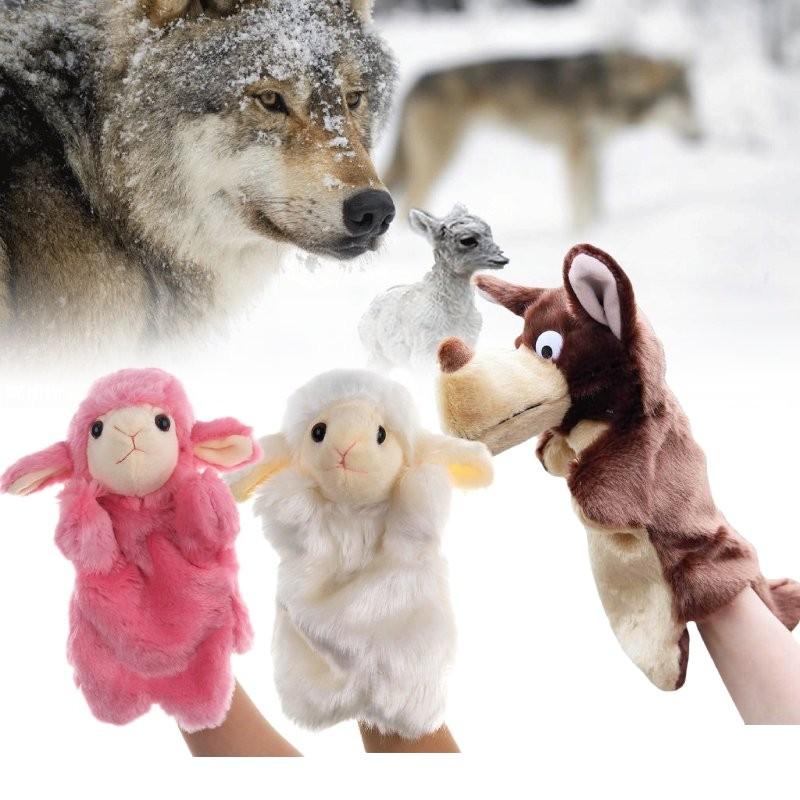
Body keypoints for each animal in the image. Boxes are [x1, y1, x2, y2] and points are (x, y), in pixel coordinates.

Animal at [385, 50, 700, 228]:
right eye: (683, 103)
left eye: (692, 102)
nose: (702, 135)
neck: (611, 85)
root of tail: (417, 80)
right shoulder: (575, 150)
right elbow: (578, 203)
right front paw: (580, 235)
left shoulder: (594, 151)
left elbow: (596, 201)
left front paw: (601, 230)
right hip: (440, 158)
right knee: (408, 204)